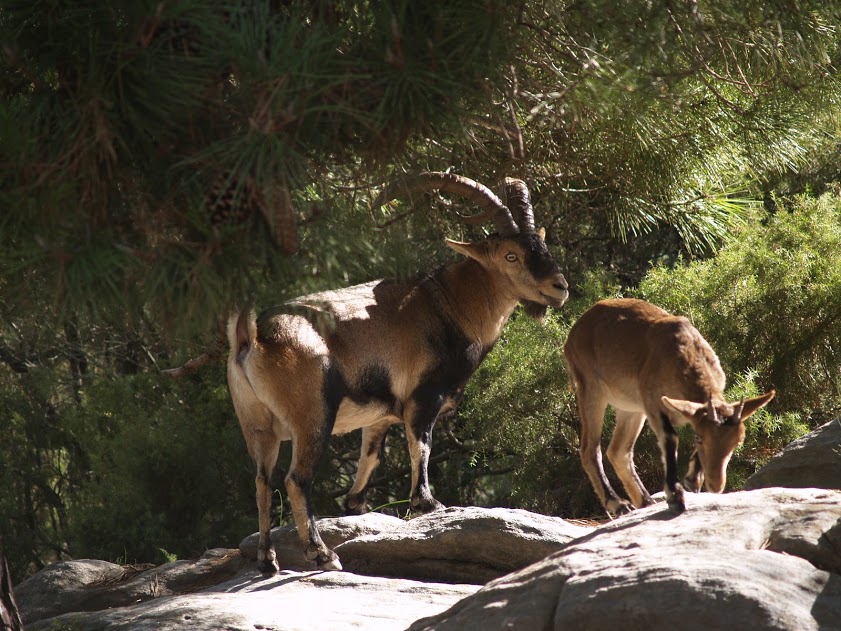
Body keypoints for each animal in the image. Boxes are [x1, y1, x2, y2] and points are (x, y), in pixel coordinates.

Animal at [226, 172, 568, 572]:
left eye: (542, 246)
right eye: (510, 255)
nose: (559, 287)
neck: (449, 304)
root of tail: (252, 338)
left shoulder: (381, 413)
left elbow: (371, 456)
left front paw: (357, 504)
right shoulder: (424, 397)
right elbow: (421, 446)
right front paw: (427, 503)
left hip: (257, 425)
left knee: (262, 481)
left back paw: (268, 559)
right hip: (312, 416)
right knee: (296, 480)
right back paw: (322, 553)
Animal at [564, 300, 776, 520]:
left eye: (739, 441)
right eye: (700, 438)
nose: (716, 484)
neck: (684, 353)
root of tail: (576, 330)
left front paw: (692, 480)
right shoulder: (653, 403)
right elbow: (670, 438)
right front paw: (675, 497)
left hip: (631, 409)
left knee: (618, 451)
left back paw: (646, 502)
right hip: (591, 388)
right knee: (590, 449)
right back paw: (619, 504)